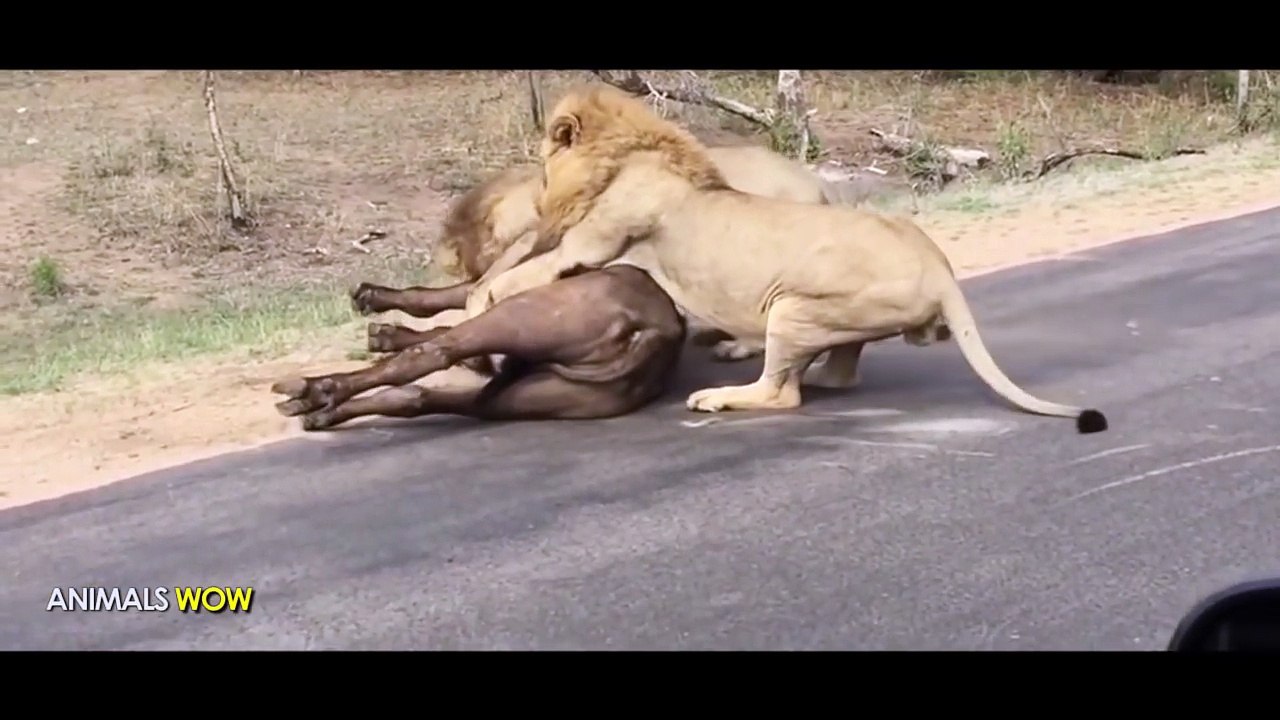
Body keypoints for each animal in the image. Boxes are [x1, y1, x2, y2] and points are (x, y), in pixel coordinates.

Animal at [478, 84, 1109, 434]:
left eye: (542, 166)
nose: (536, 195)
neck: (631, 155)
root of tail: (939, 266)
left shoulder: (591, 244)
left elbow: (513, 279)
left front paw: (484, 322)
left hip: (791, 307)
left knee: (782, 393)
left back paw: (718, 395)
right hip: (836, 319)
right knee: (840, 373)